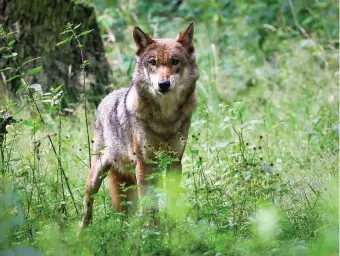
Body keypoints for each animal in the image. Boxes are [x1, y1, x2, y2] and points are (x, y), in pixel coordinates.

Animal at [80, 22, 199, 228]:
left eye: (175, 61)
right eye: (152, 62)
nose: (163, 84)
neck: (164, 118)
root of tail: (107, 97)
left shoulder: (175, 161)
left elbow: (170, 201)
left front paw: (172, 229)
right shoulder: (145, 164)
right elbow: (149, 205)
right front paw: (152, 232)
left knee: (125, 214)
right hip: (97, 175)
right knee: (88, 203)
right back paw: (82, 231)